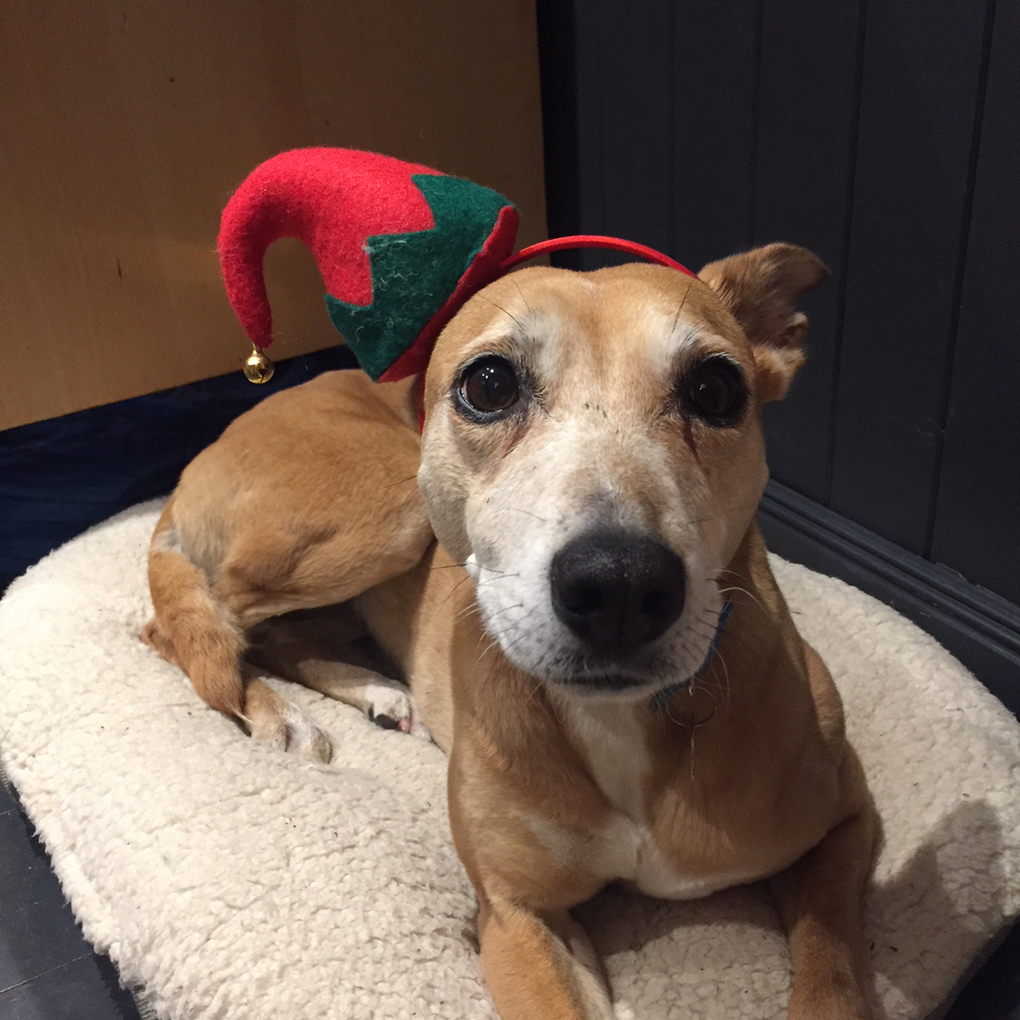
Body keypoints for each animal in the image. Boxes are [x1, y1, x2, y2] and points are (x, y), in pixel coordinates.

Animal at [141, 244, 877, 1020]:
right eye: (489, 384)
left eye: (715, 388)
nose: (619, 586)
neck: (618, 721)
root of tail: (198, 459)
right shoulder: (515, 914)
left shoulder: (847, 821)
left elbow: (832, 965)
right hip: (385, 509)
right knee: (194, 626)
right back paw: (280, 714)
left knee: (279, 636)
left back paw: (376, 690)